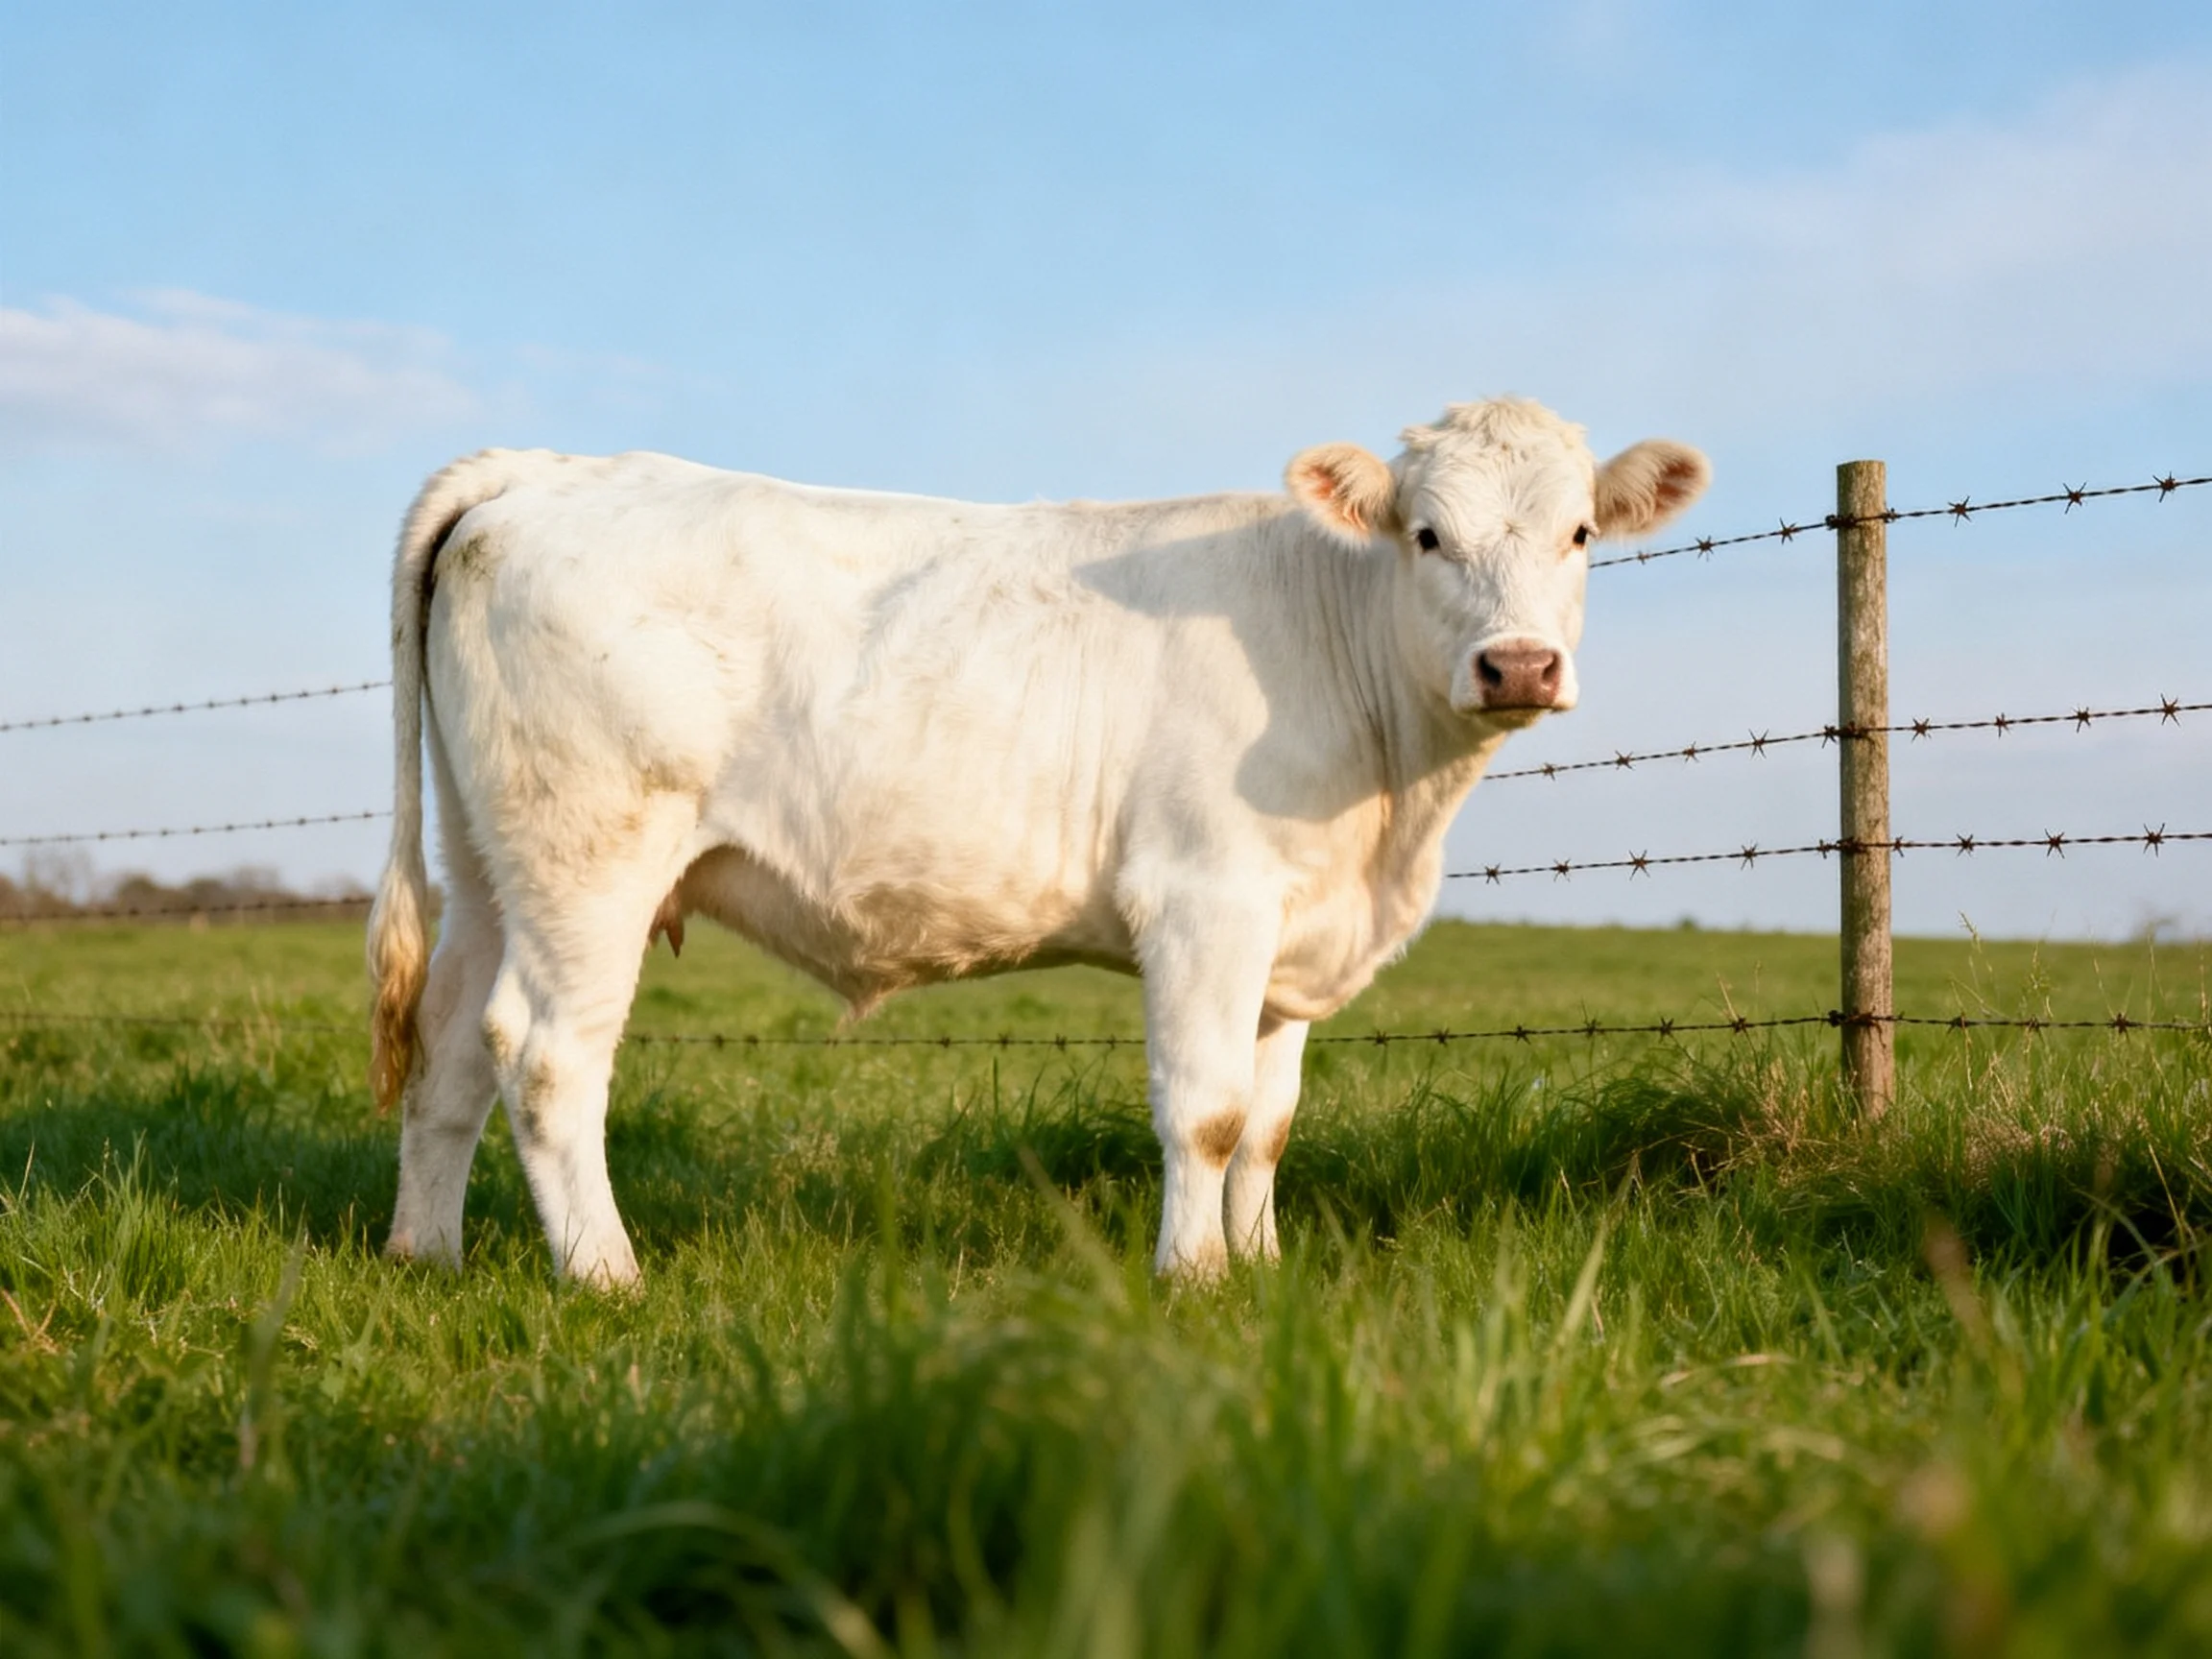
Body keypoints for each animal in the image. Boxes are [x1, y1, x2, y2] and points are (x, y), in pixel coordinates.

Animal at [367, 397, 1708, 1285]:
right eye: (1427, 535)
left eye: (1581, 534)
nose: (1518, 664)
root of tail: (551, 470)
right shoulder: (1206, 900)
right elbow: (1208, 1111)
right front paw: (1195, 1282)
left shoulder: (1294, 931)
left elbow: (1271, 1122)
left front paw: (1263, 1270)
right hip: (589, 856)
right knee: (546, 1055)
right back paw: (608, 1276)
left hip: (489, 865)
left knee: (450, 1052)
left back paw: (425, 1256)